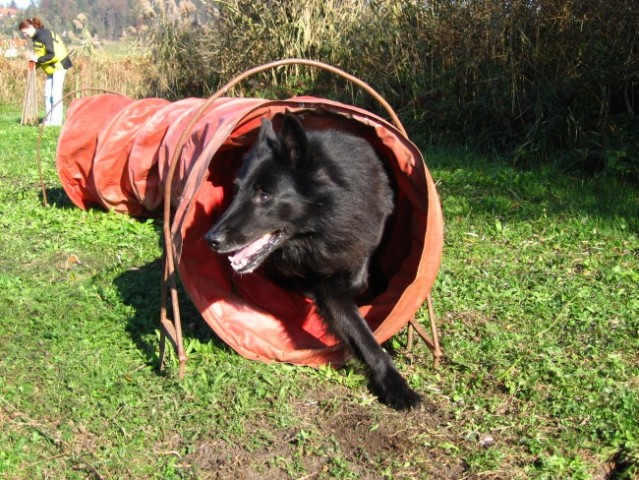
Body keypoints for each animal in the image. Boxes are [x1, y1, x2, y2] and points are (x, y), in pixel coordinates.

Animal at [205, 114, 422, 410]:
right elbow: (363, 337)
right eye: (236, 191)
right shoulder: (329, 289)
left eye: (264, 194)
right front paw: (396, 386)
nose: (210, 239)